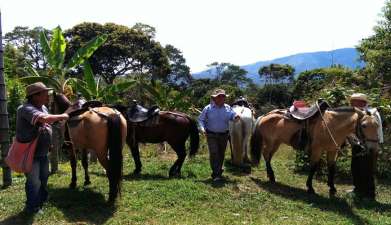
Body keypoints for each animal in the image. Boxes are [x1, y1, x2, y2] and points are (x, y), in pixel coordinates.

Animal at [251, 107, 380, 195]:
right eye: (364, 125)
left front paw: (332, 188)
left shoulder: (333, 151)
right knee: (266, 154)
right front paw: (310, 187)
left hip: (277, 143)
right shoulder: (318, 150)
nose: (373, 148)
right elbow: (313, 167)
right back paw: (272, 176)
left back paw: (270, 175)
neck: (332, 125)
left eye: (377, 125)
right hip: (270, 141)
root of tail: (265, 115)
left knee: (268, 156)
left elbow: (331, 168)